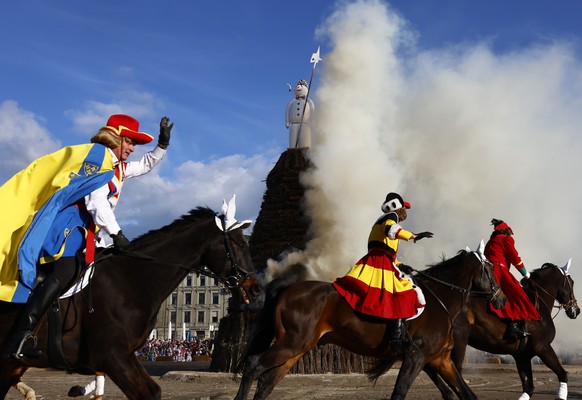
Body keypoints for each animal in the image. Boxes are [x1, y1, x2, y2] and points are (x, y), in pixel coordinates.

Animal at [0, 200, 260, 400]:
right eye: (239, 243)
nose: (256, 287)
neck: (132, 276)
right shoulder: (113, 356)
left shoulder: (125, 356)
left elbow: (153, 392)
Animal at [235, 248, 508, 398]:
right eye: (491, 271)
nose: (501, 299)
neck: (439, 300)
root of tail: (289, 287)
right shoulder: (416, 357)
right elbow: (399, 392)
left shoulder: (439, 360)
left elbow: (465, 394)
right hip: (291, 344)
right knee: (253, 365)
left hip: (296, 350)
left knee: (266, 382)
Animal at [418, 260, 580, 400]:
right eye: (571, 283)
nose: (576, 310)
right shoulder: (543, 348)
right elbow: (563, 374)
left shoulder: (522, 356)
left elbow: (528, 388)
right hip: (458, 341)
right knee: (453, 370)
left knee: (431, 366)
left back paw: (448, 394)